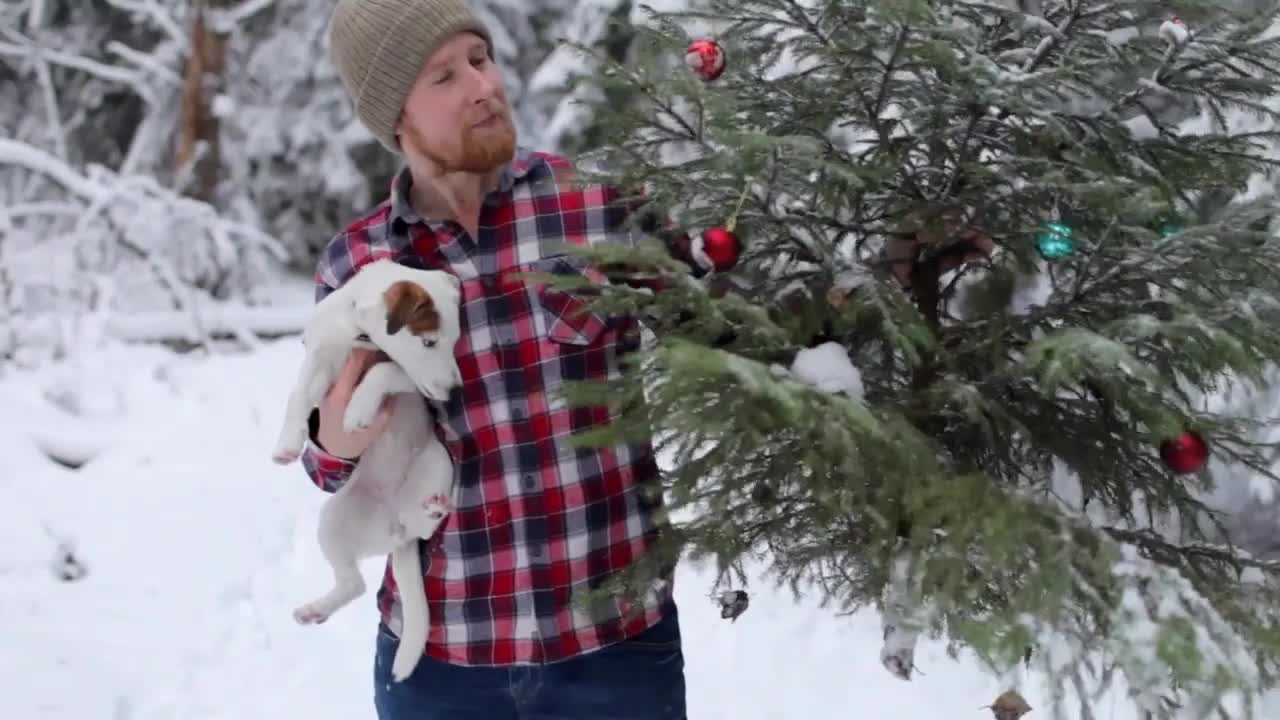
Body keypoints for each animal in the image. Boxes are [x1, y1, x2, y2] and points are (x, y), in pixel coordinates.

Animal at [270, 257, 465, 676]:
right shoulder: (320, 359)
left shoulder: (407, 377)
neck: (361, 335)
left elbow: (384, 372)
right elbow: (298, 395)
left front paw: (358, 410)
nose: (457, 392)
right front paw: (287, 445)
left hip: (439, 460)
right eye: (429, 342)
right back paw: (315, 610)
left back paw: (436, 506)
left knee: (425, 525)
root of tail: (398, 530)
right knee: (353, 584)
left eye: (455, 340)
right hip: (333, 521)